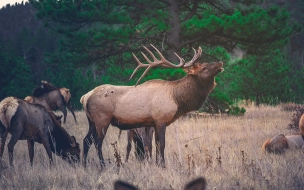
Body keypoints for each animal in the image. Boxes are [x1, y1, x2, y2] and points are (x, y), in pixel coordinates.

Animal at [81, 44, 223, 168]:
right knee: (97, 142)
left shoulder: (153, 123)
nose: (220, 63)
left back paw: (83, 165)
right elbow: (162, 144)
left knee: (86, 140)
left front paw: (157, 164)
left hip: (91, 121)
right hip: (102, 119)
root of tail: (85, 97)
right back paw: (102, 165)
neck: (176, 98)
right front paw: (163, 165)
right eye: (204, 67)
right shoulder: (160, 120)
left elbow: (156, 145)